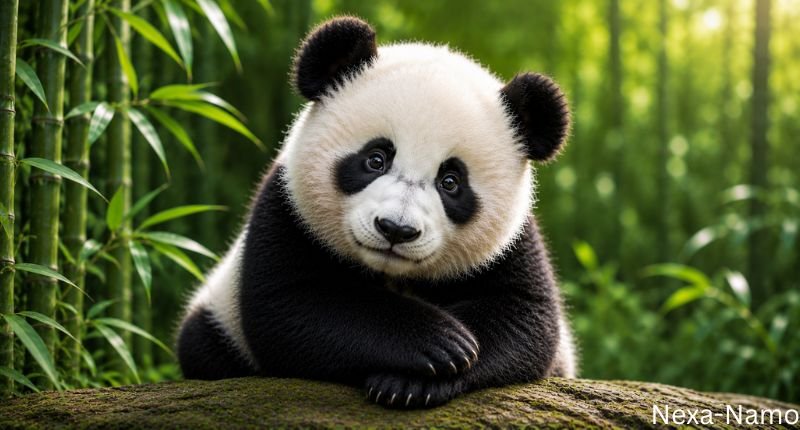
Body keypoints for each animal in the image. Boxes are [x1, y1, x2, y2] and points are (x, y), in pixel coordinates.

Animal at [177, 16, 576, 409]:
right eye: (376, 159)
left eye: (450, 182)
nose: (396, 229)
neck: (391, 274)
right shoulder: (287, 208)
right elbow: (290, 306)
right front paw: (438, 343)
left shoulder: (513, 243)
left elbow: (525, 318)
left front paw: (414, 380)